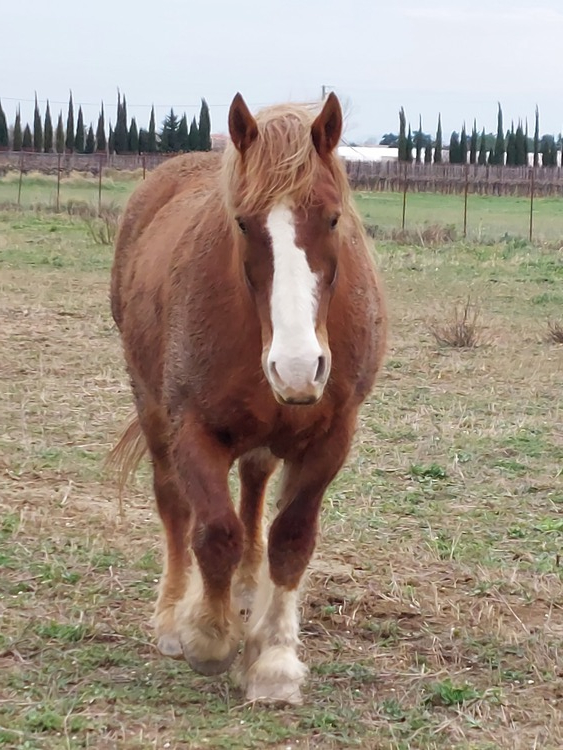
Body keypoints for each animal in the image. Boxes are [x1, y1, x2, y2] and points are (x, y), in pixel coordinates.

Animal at [110, 92, 388, 704]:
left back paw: (245, 587)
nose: (297, 366)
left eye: (333, 217)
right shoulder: (192, 427)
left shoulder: (334, 435)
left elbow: (291, 538)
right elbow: (213, 531)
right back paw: (174, 617)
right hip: (150, 406)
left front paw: (274, 660)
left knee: (256, 485)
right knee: (174, 505)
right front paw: (210, 638)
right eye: (241, 221)